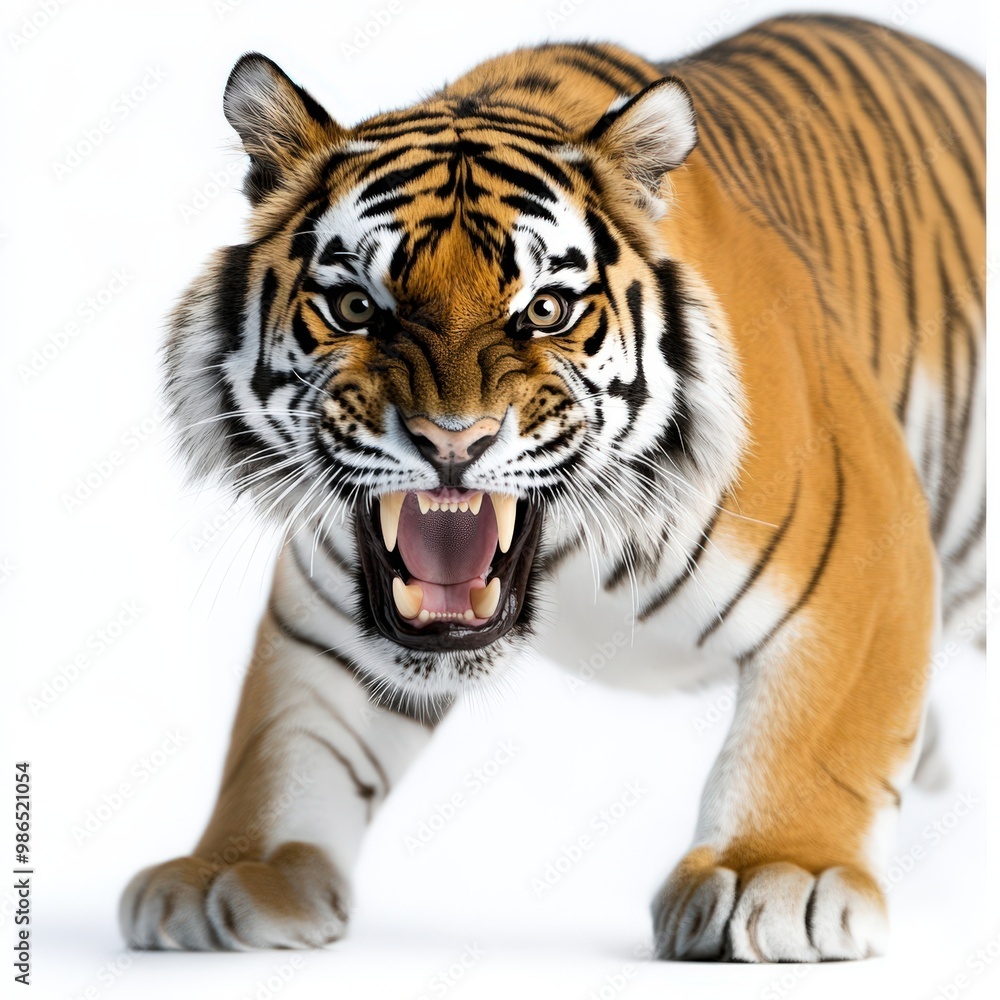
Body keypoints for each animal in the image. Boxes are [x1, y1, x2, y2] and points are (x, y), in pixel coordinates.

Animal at [120, 14, 985, 962]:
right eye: (355, 308)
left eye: (545, 310)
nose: (451, 440)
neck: (567, 556)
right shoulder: (327, 611)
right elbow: (285, 735)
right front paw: (234, 870)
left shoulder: (867, 554)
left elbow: (816, 733)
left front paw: (777, 871)